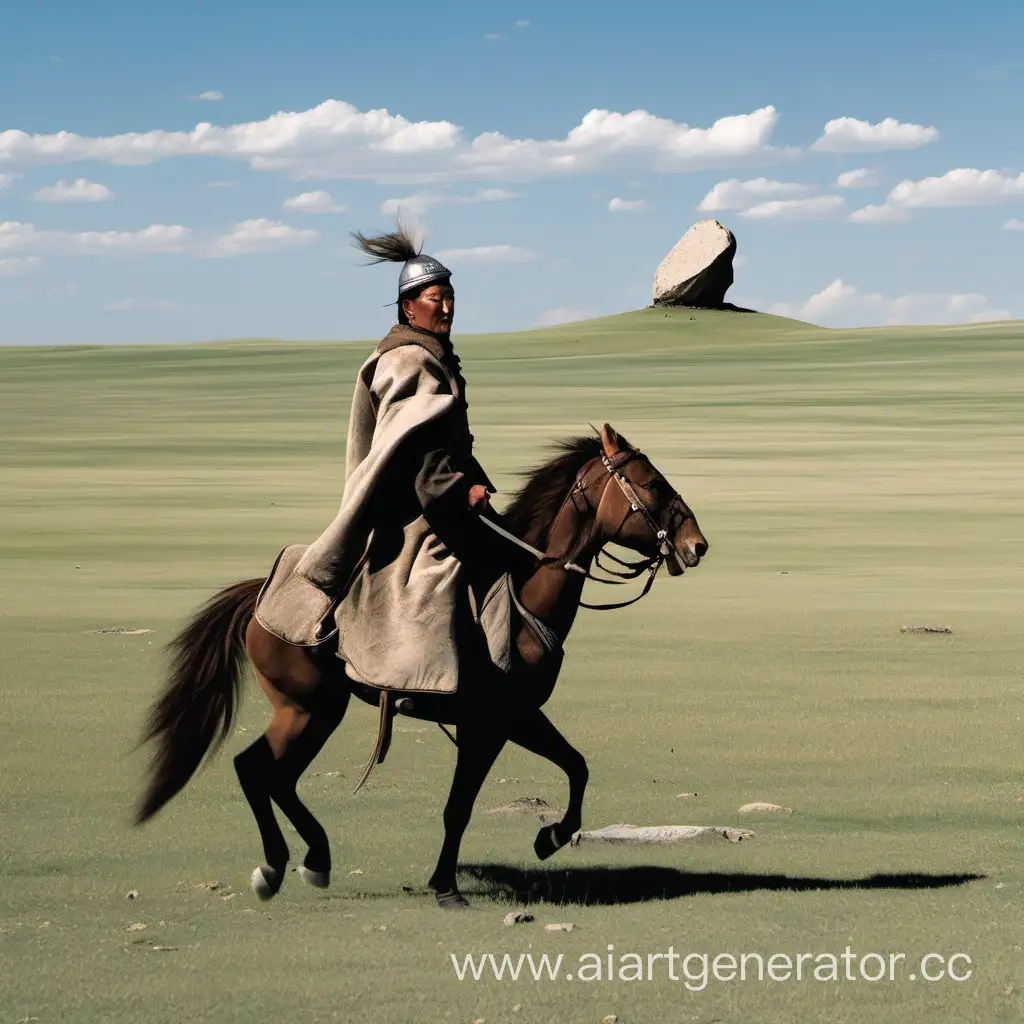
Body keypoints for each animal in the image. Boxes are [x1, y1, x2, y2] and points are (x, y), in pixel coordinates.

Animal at [136, 423, 708, 913]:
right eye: (652, 483)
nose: (696, 545)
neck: (525, 595)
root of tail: (259, 595)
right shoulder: (487, 724)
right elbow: (460, 806)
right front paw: (448, 887)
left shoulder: (520, 716)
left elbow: (577, 765)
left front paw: (549, 838)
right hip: (306, 709)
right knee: (257, 770)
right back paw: (281, 867)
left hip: (315, 712)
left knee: (271, 775)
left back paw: (311, 861)